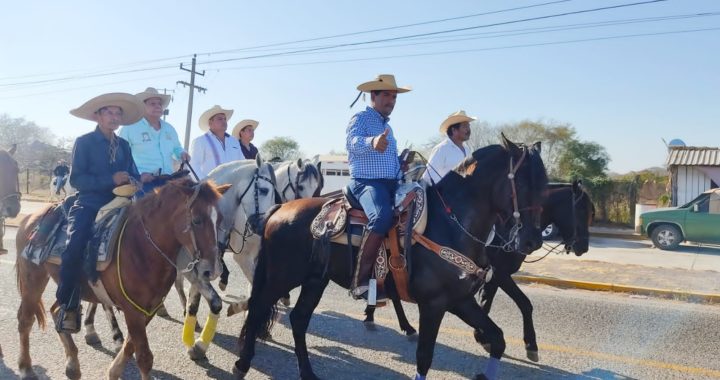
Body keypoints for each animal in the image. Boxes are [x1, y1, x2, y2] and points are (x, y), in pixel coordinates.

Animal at [14, 179, 228, 380]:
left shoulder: (147, 309)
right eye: (197, 220)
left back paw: (72, 365)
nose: (212, 270)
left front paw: (114, 371)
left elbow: (130, 345)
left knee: (56, 310)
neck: (141, 247)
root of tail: (30, 219)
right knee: (26, 320)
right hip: (33, 279)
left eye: (220, 220)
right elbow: (144, 357)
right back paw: (26, 368)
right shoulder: (132, 310)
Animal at [235, 137, 544, 380]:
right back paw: (242, 364)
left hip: (314, 280)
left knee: (298, 319)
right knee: (259, 307)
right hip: (282, 277)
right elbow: (424, 357)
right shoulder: (434, 305)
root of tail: (279, 208)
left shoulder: (461, 300)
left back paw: (308, 372)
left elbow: (498, 339)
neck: (451, 225)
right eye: (523, 184)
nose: (533, 241)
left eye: (544, 186)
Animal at [362, 182, 592, 362]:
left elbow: (487, 301)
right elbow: (523, 303)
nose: (583, 247)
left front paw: (483, 336)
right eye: (582, 210)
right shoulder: (499, 273)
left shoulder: (490, 276)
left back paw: (393, 320)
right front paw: (528, 344)